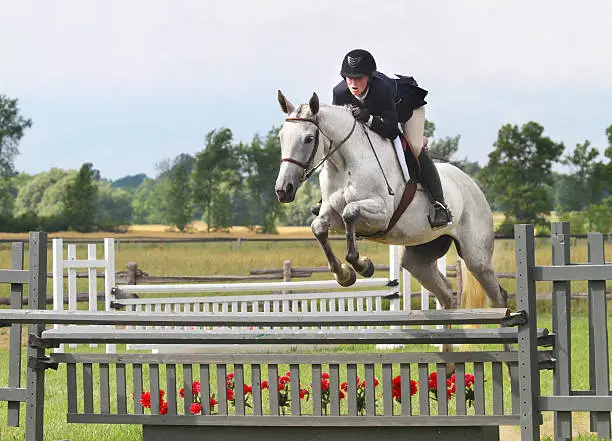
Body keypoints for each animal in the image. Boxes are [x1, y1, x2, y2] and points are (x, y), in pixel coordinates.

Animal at [274, 90, 506, 308]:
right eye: (281, 137)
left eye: (308, 139)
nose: (283, 190)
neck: (345, 164)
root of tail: (473, 185)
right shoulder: (331, 211)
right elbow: (319, 227)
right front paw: (344, 274)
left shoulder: (382, 214)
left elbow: (351, 211)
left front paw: (362, 265)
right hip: (419, 258)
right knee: (446, 294)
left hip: (477, 257)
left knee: (496, 293)